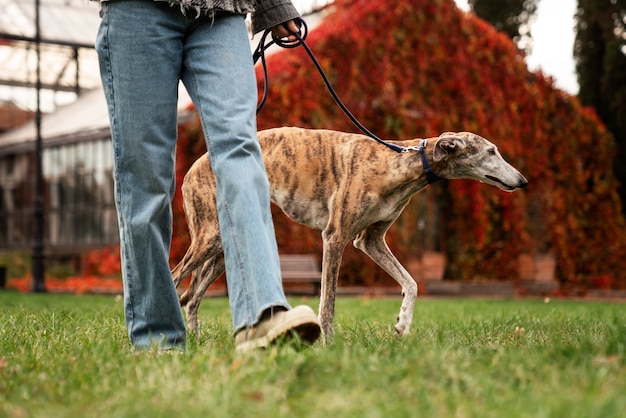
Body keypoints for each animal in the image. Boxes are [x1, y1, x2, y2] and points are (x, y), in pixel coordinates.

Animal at [172, 127, 528, 342]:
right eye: (491, 151)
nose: (523, 181)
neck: (399, 162)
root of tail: (194, 165)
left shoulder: (370, 240)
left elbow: (411, 283)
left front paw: (402, 324)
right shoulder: (335, 237)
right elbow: (328, 302)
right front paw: (327, 343)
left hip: (223, 247)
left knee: (191, 297)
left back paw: (196, 340)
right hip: (208, 238)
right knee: (176, 278)